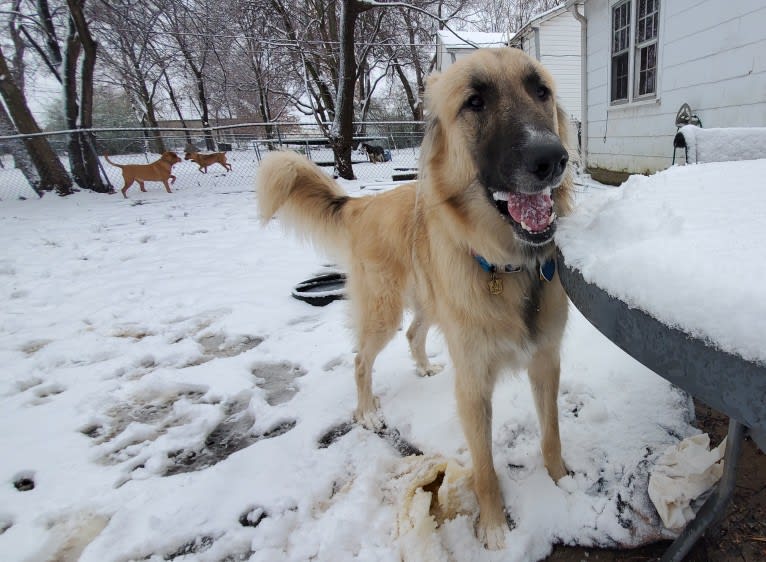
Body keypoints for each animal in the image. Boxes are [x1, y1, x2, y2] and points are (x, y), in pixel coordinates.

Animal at [258, 48, 576, 548]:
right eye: (474, 102)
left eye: (541, 90)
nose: (550, 158)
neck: (506, 267)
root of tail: (362, 204)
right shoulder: (473, 386)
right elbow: (484, 467)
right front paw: (492, 526)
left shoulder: (546, 362)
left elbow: (552, 435)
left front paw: (562, 483)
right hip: (383, 311)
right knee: (360, 359)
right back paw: (367, 412)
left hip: (428, 302)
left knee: (412, 333)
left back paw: (423, 367)